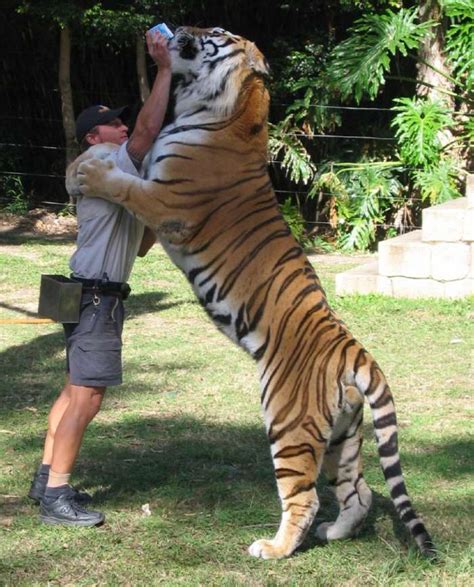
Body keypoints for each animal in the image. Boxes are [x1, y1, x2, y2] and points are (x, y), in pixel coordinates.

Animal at [65, 26, 436, 560]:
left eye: (216, 34)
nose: (180, 30)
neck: (225, 109)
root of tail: (354, 350)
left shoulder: (166, 201)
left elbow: (122, 184)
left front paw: (87, 173)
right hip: (342, 435)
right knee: (359, 492)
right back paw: (334, 533)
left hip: (288, 422)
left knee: (303, 497)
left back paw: (274, 548)